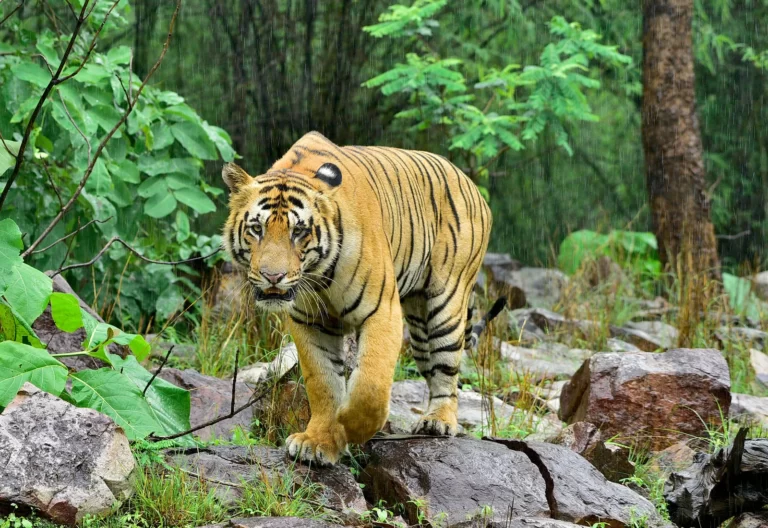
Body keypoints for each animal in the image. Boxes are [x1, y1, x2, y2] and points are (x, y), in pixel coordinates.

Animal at [222, 131, 498, 465]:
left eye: (299, 231)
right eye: (256, 229)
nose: (273, 276)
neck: (319, 276)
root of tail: (471, 184)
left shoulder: (382, 311)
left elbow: (371, 386)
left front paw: (349, 428)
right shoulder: (310, 321)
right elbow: (322, 381)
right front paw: (318, 440)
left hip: (446, 304)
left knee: (447, 370)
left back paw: (438, 421)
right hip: (419, 324)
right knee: (432, 368)